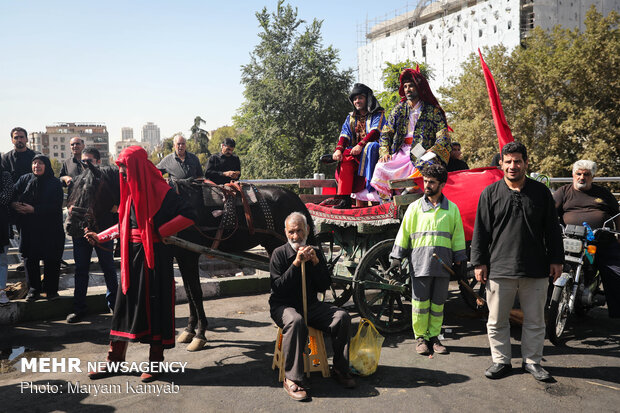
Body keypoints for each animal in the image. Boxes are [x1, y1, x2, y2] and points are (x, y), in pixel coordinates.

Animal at [64, 163, 314, 350]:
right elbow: (190, 292)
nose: (70, 226)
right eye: (71, 187)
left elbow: (195, 292)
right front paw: (189, 331)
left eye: (88, 188)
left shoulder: (189, 255)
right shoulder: (182, 256)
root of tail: (294, 197)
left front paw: (200, 335)